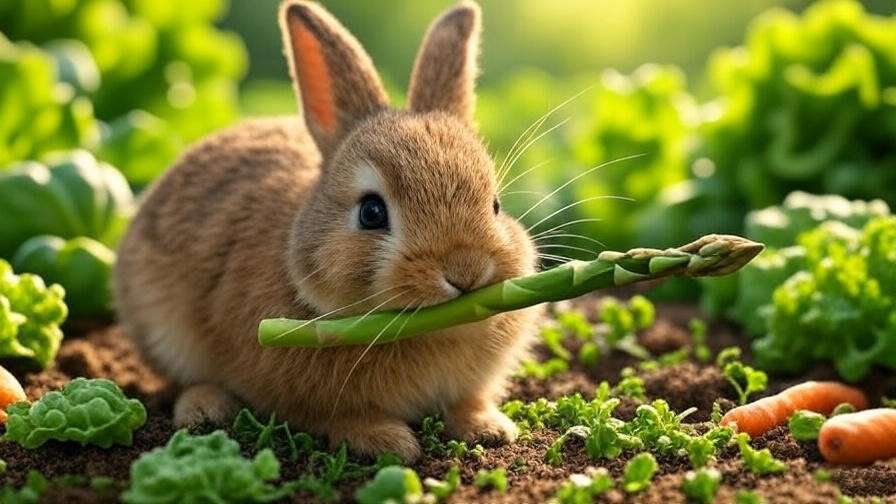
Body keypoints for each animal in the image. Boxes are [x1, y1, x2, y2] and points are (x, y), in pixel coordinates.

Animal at [113, 0, 540, 462]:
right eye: (371, 213)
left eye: (495, 205)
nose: (466, 271)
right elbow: (340, 417)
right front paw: (386, 442)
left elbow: (467, 402)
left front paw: (489, 428)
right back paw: (206, 410)